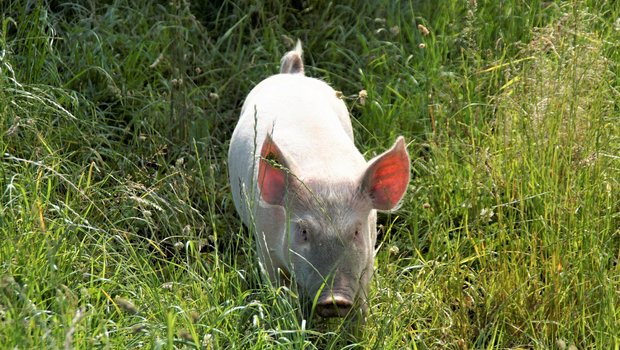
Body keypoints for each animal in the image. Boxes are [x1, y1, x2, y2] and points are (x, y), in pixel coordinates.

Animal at [228, 41, 412, 320]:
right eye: (303, 231)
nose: (334, 299)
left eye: (356, 231)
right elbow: (278, 288)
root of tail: (293, 75)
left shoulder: (369, 256)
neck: (327, 177)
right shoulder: (265, 247)